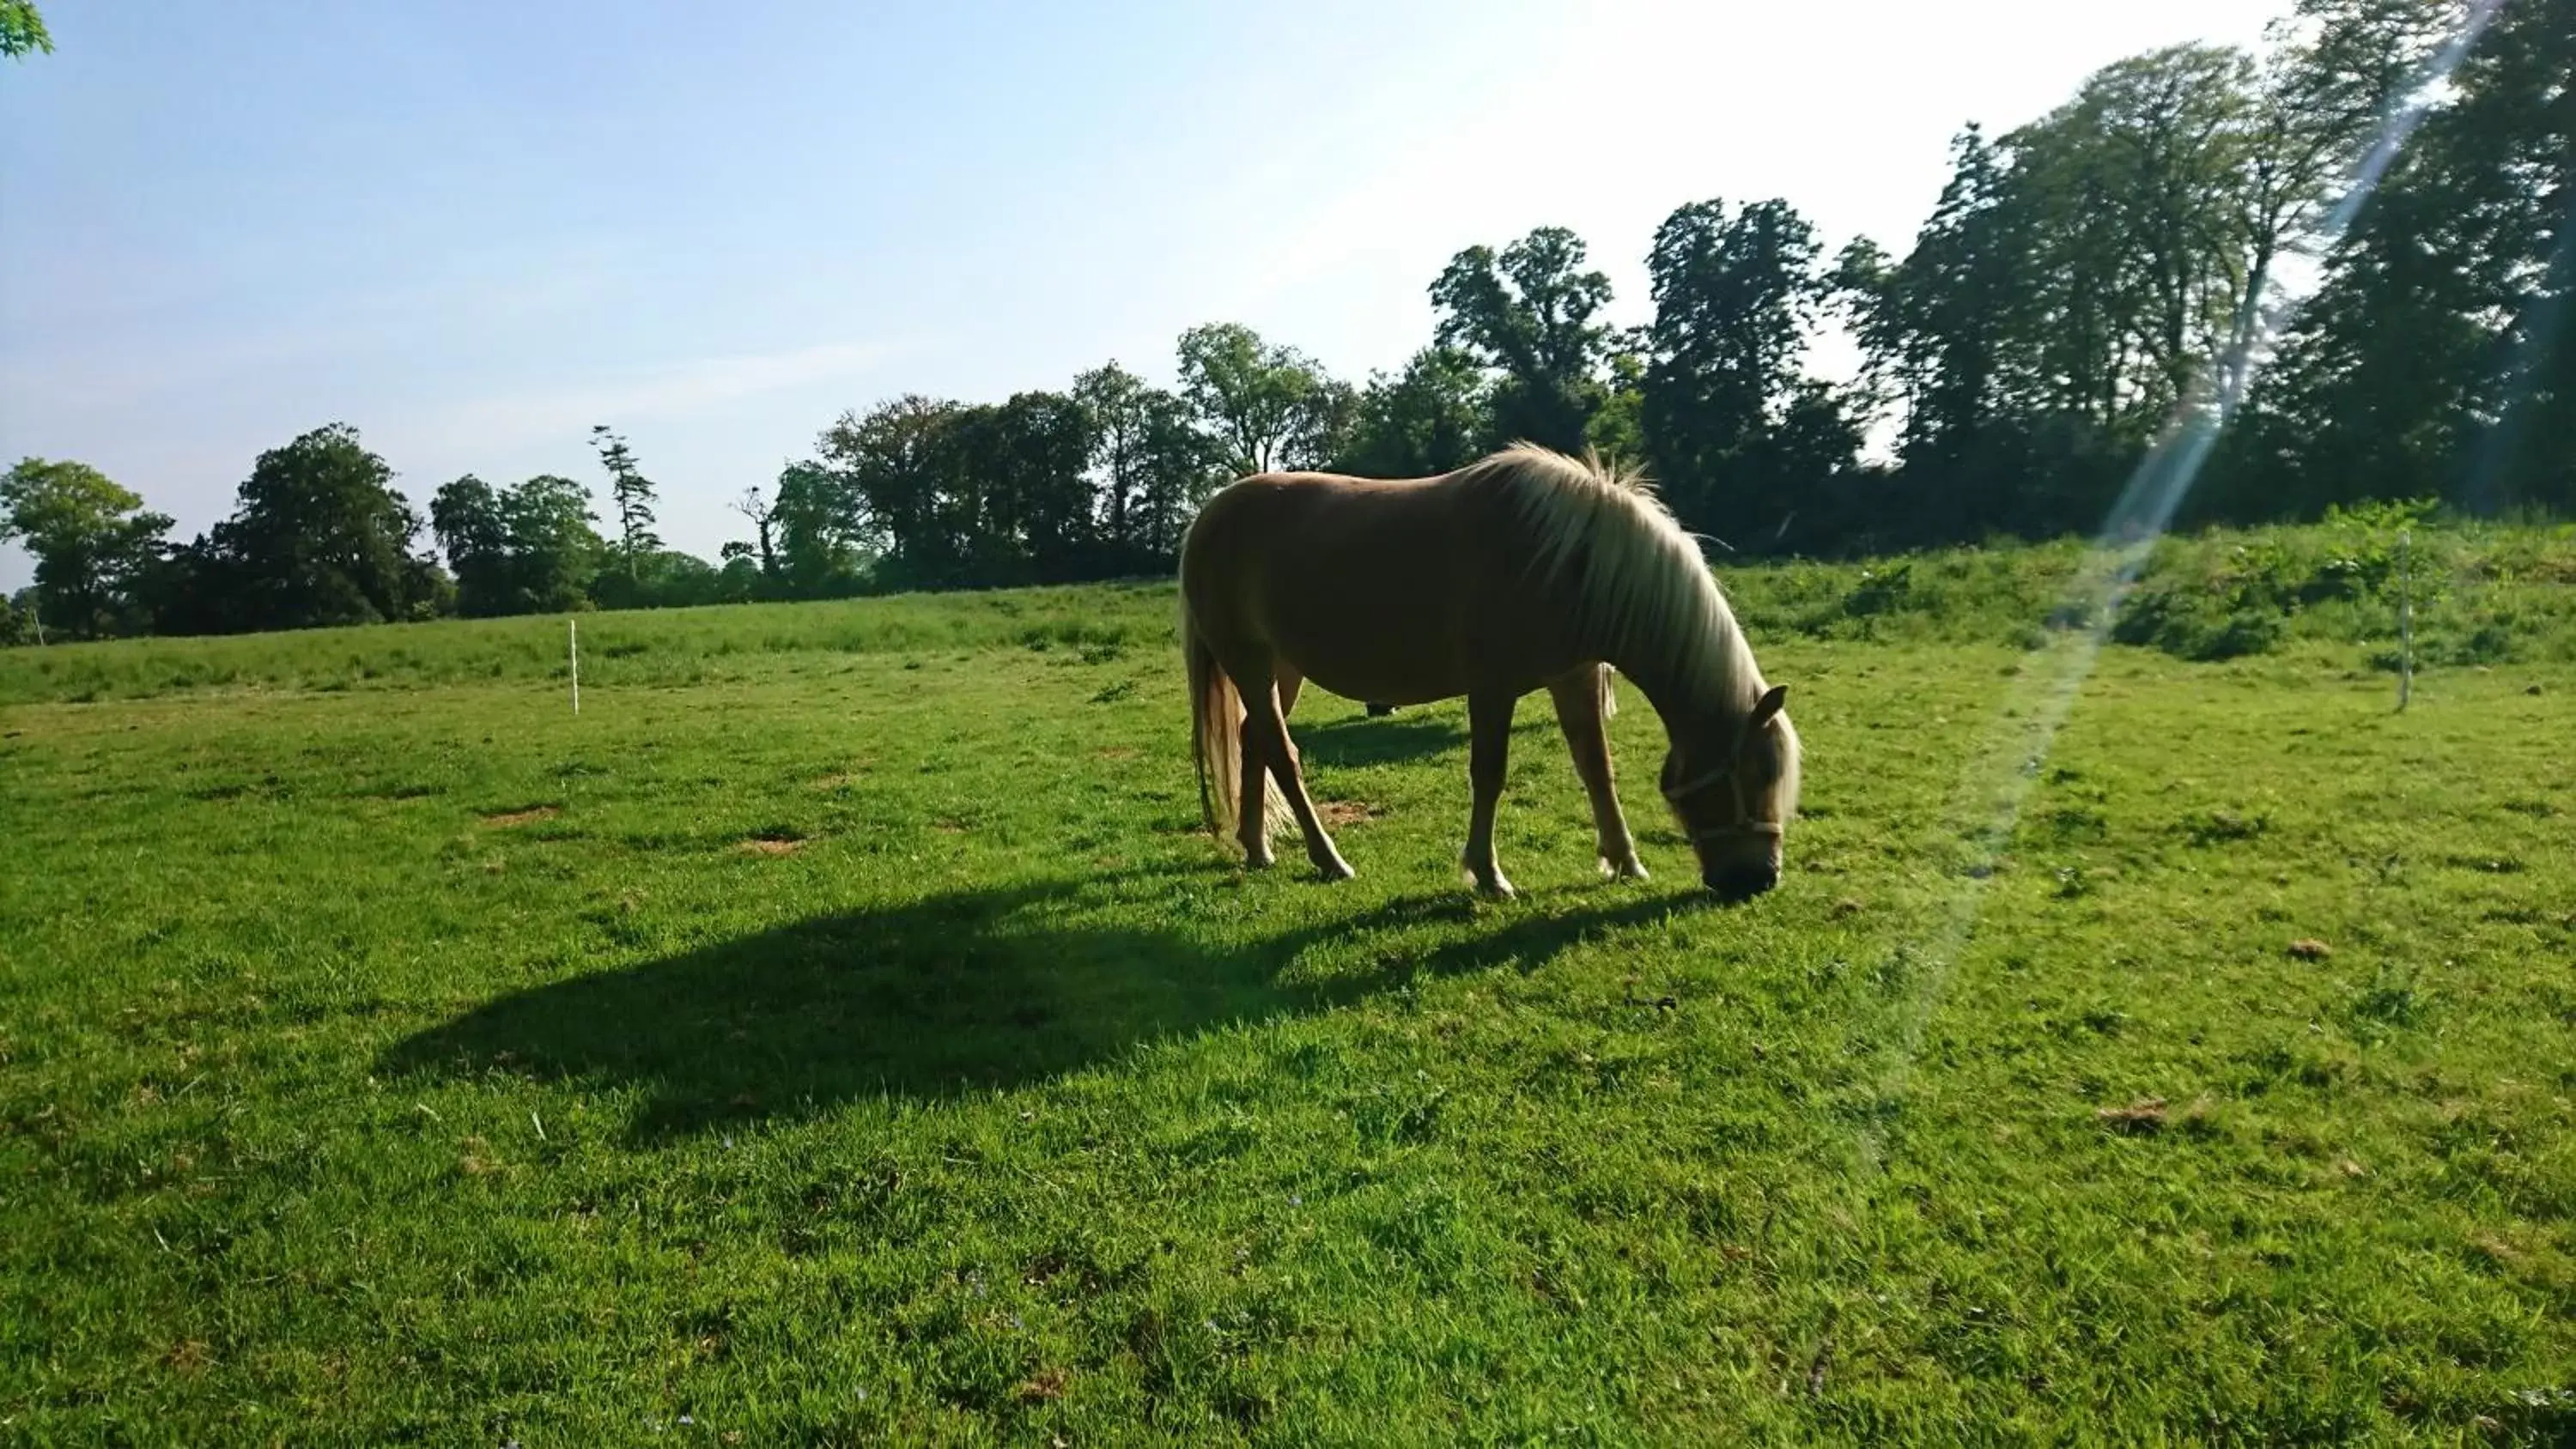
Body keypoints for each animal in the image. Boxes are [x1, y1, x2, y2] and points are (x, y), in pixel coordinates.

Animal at [1180, 442, 1803, 900]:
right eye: (1752, 774)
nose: (1757, 880)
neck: (1566, 560)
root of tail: (1209, 517)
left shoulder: (1574, 677)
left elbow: (1596, 769)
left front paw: (1625, 861)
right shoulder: (1492, 688)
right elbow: (1489, 774)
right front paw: (1488, 875)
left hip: (1281, 669)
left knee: (1254, 741)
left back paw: (1258, 848)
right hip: (1249, 661)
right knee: (1283, 754)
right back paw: (1329, 860)